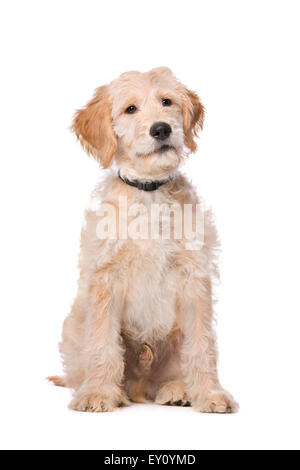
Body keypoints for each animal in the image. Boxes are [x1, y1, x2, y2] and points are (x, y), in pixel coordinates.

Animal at [48, 65, 238, 412]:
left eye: (167, 102)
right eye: (130, 109)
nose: (161, 129)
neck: (149, 191)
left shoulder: (194, 276)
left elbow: (202, 345)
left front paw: (210, 394)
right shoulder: (105, 277)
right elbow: (102, 342)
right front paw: (98, 393)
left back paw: (177, 390)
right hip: (74, 325)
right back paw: (109, 390)